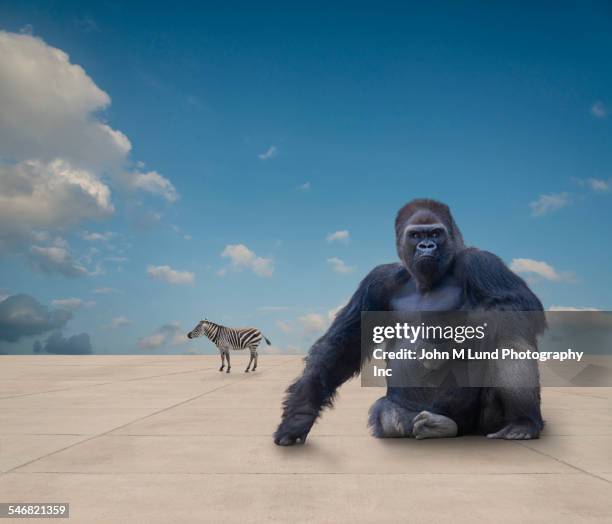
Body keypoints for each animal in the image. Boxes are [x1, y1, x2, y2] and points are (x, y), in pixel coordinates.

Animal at [272, 199, 544, 444]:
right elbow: (342, 345)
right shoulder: (377, 281)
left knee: (509, 338)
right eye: (416, 235)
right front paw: (299, 416)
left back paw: (522, 422)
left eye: (435, 233)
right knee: (389, 417)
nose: (427, 246)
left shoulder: (479, 261)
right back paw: (436, 426)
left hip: (485, 423)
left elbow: (516, 304)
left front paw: (451, 340)